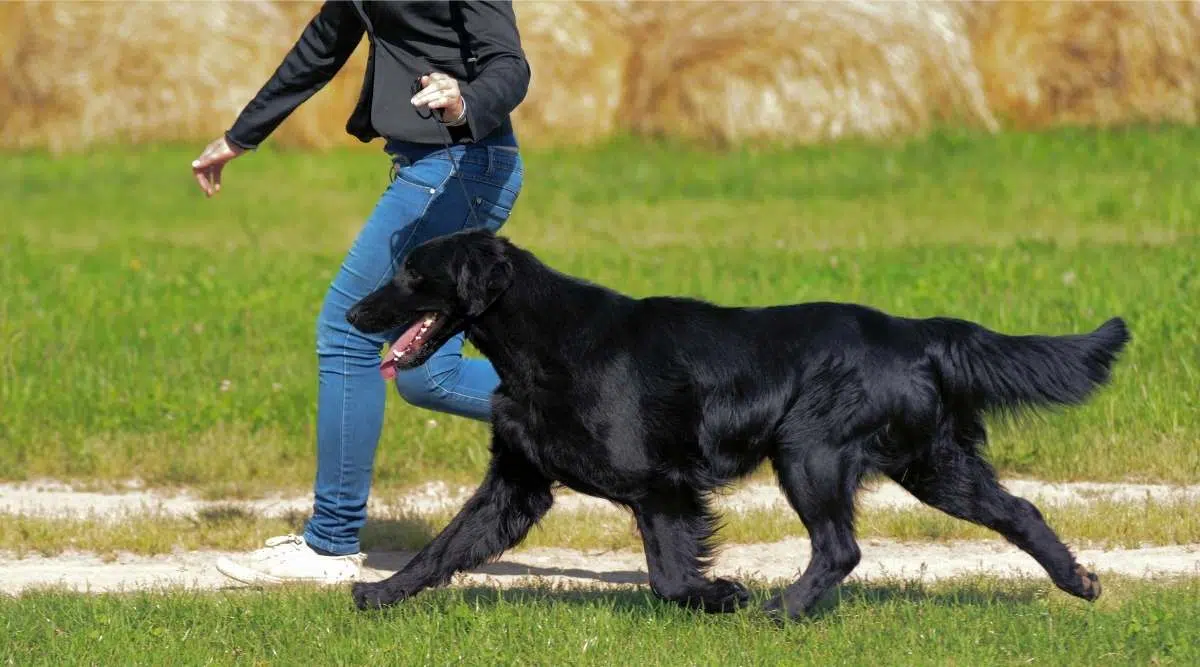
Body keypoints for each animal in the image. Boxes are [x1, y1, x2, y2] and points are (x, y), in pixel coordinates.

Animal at [345, 229, 1123, 619]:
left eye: (413, 273)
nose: (352, 311)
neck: (544, 343)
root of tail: (911, 331)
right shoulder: (517, 482)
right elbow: (444, 545)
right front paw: (379, 593)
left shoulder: (660, 484)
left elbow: (667, 574)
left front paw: (719, 595)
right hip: (933, 463)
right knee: (1019, 509)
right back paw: (1079, 581)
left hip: (808, 450)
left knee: (840, 547)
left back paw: (779, 610)